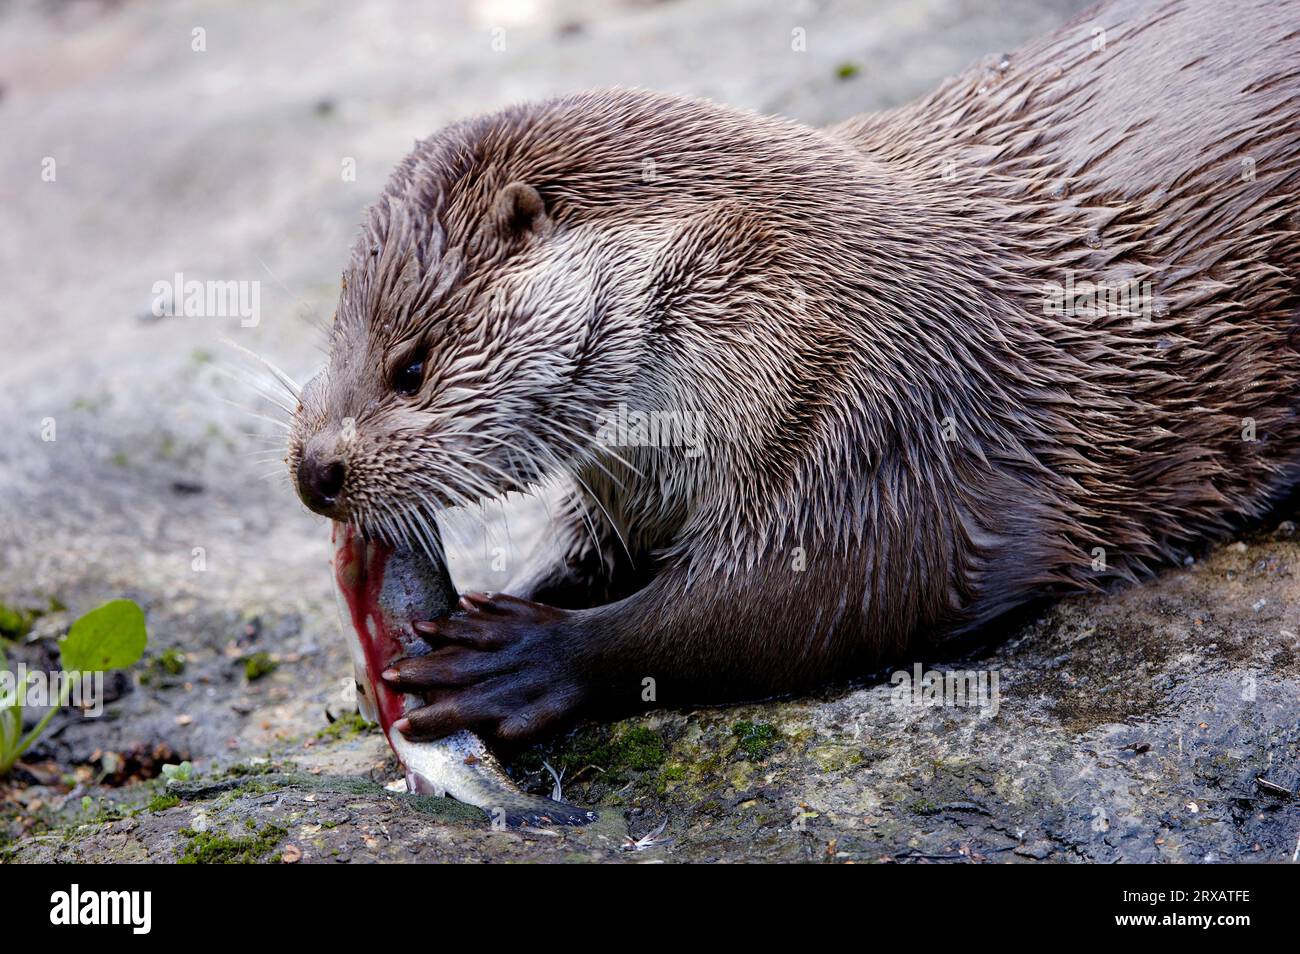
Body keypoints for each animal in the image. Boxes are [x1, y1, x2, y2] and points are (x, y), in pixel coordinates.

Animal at [289, 0, 1300, 745]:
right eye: (332, 340)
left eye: (411, 365)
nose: (313, 472)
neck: (800, 293)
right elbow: (597, 557)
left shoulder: (892, 419)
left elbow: (803, 599)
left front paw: (522, 657)